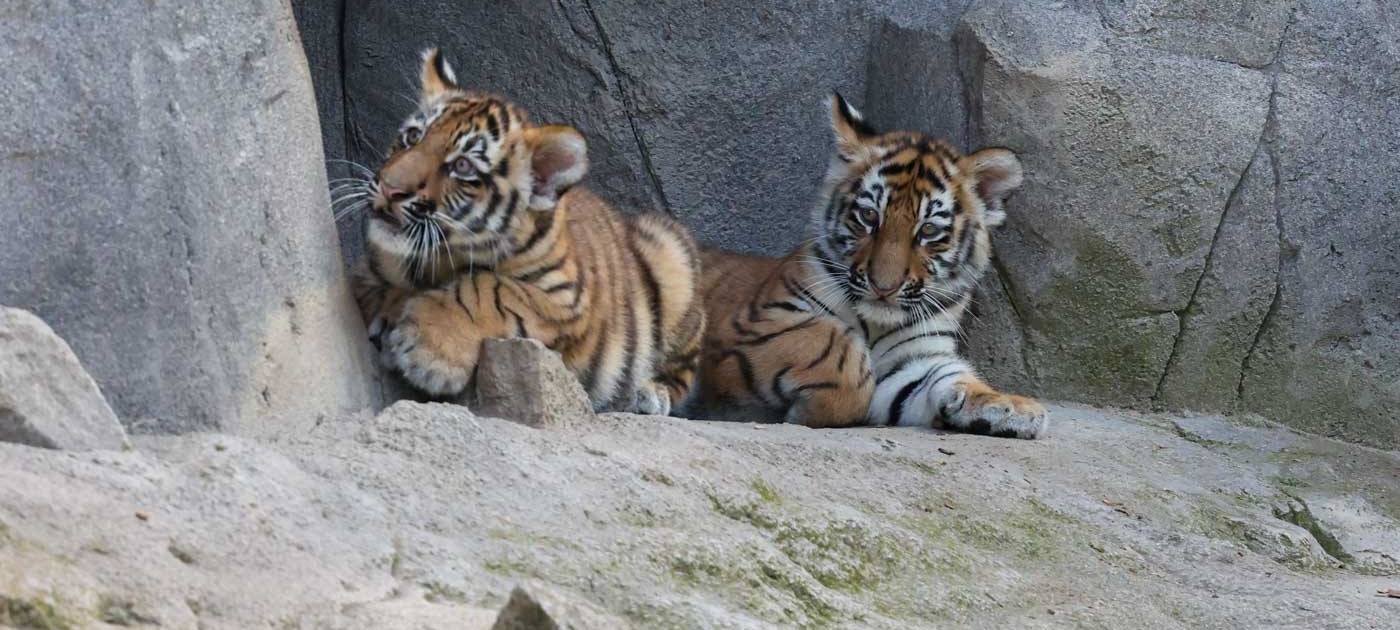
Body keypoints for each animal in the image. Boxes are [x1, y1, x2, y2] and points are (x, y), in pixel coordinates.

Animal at [346, 48, 704, 415]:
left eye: (462, 166)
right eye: (413, 137)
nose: (389, 188)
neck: (438, 257)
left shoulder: (566, 297)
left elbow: (488, 287)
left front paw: (429, 349)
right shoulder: (364, 272)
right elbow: (381, 290)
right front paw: (390, 316)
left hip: (669, 248)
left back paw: (648, 394)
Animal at [689, 93, 1048, 439]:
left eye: (928, 231)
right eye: (869, 216)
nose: (883, 286)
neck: (876, 325)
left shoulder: (915, 360)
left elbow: (948, 374)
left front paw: (1009, 407)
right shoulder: (756, 321)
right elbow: (833, 345)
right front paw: (810, 412)